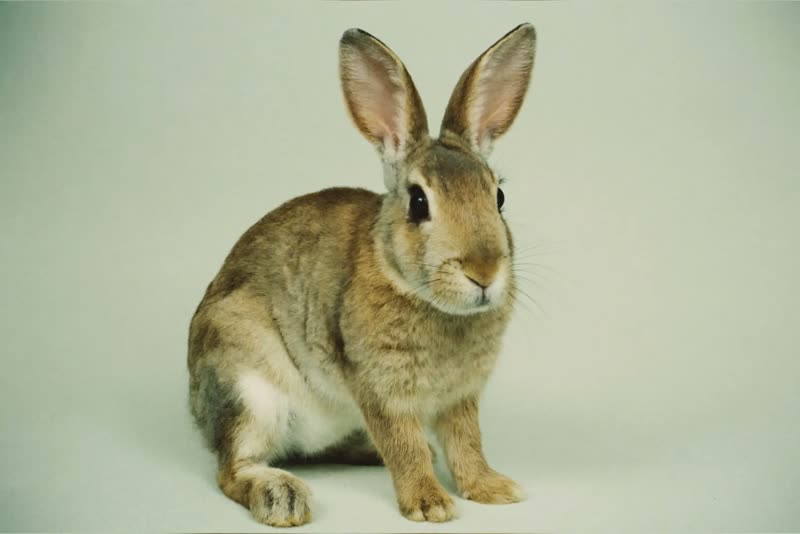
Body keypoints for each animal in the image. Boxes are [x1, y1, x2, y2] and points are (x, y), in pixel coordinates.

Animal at [187, 23, 537, 527]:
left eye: (499, 197)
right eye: (418, 202)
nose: (484, 271)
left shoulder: (460, 397)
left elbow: (466, 443)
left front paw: (493, 489)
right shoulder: (380, 389)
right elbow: (403, 444)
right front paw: (430, 505)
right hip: (245, 390)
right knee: (232, 468)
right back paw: (282, 497)